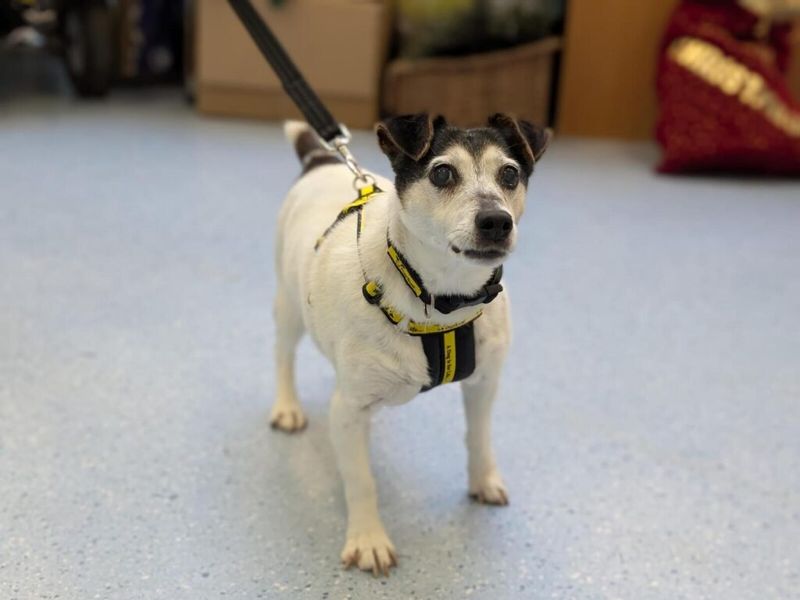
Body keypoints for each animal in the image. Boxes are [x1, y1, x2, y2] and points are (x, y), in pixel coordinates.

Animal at [268, 113, 552, 576]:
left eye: (510, 174)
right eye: (442, 173)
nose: (496, 221)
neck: (441, 301)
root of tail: (320, 162)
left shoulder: (484, 383)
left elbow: (479, 436)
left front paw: (483, 479)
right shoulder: (348, 409)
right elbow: (360, 479)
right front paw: (368, 538)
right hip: (290, 306)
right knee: (282, 355)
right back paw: (287, 407)